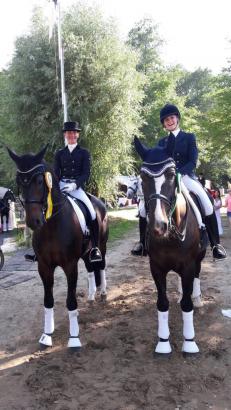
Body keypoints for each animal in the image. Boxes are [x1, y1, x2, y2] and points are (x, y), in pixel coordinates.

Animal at [7, 147, 108, 350]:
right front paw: (46, 335)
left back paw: (103, 293)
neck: (52, 224)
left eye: (39, 181)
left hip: (101, 245)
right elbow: (48, 300)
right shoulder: (44, 266)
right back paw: (91, 296)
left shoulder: (70, 265)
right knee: (91, 269)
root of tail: (99, 201)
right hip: (86, 252)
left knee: (101, 265)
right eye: (19, 181)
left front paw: (74, 338)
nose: (34, 221)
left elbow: (71, 301)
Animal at [134, 136, 207, 354]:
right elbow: (162, 303)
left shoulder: (189, 265)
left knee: (197, 277)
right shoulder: (156, 267)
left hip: (199, 258)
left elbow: (187, 304)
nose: (158, 226)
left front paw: (190, 342)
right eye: (143, 176)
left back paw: (198, 298)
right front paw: (163, 343)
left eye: (171, 174)